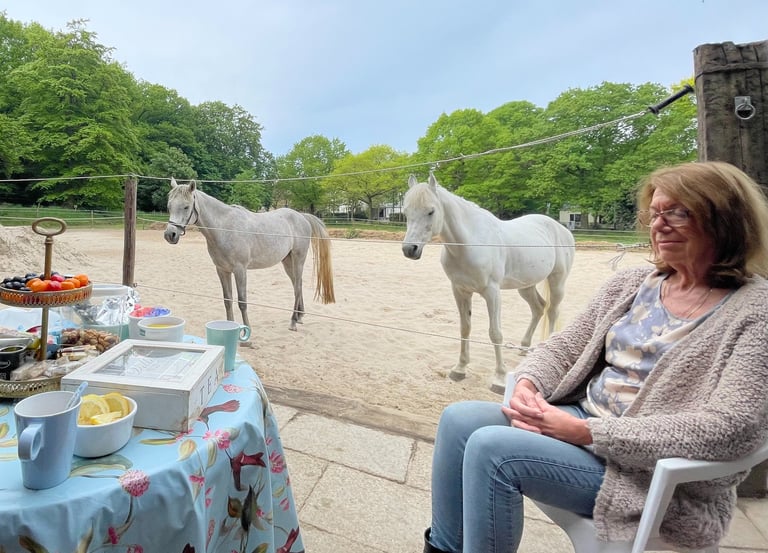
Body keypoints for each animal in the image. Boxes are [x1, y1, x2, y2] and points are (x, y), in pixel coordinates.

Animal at [163, 178, 335, 331]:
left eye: (186, 207)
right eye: (169, 206)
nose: (170, 234)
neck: (225, 228)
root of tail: (302, 216)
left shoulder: (240, 270)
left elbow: (242, 301)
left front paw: (247, 332)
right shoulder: (222, 270)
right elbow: (227, 300)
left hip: (298, 259)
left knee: (298, 285)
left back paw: (293, 321)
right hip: (287, 261)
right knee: (296, 285)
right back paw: (299, 316)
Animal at [401, 173, 575, 393]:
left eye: (431, 211)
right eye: (406, 212)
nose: (409, 249)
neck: (469, 243)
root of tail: (561, 229)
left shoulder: (492, 293)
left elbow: (495, 334)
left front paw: (499, 379)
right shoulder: (460, 291)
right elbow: (465, 327)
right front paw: (460, 368)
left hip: (557, 281)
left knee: (552, 311)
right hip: (526, 286)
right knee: (538, 308)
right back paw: (524, 347)